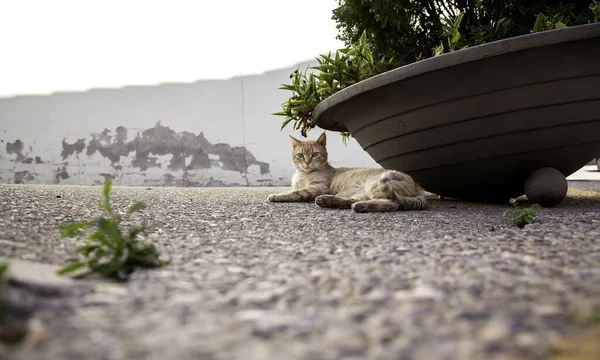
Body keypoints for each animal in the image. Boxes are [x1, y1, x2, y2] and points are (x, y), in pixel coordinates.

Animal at [268, 131, 426, 211]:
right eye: (300, 155)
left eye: (315, 154)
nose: (307, 163)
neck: (303, 174)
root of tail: (416, 183)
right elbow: (293, 190)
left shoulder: (317, 187)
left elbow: (295, 192)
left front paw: (276, 195)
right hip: (361, 192)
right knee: (353, 200)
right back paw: (328, 201)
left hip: (374, 185)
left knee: (391, 204)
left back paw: (360, 206)